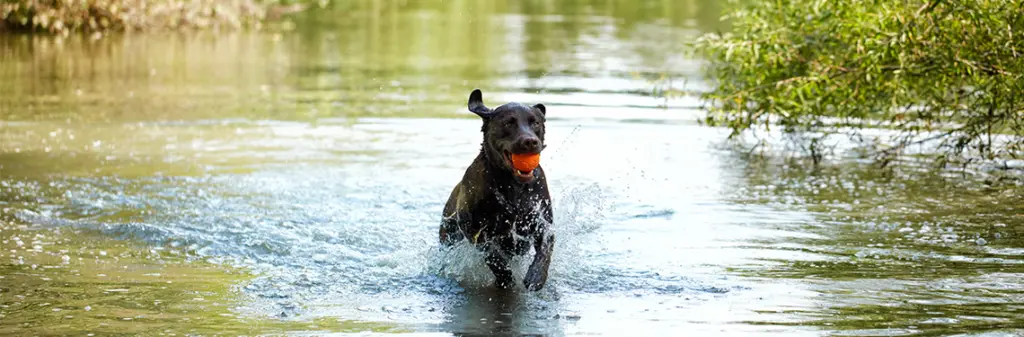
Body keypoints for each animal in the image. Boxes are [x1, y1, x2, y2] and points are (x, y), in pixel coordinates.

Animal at [438, 88, 557, 290]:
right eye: (509, 123)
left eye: (535, 122)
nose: (530, 142)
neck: (513, 186)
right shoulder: (473, 227)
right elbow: (492, 253)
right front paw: (505, 277)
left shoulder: (542, 222)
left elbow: (546, 247)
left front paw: (536, 276)